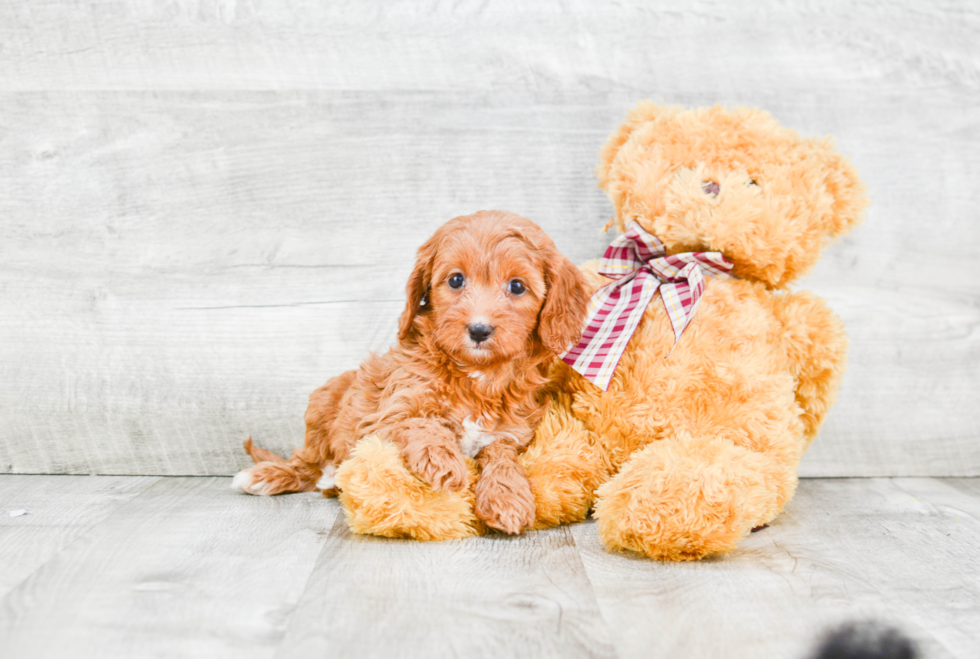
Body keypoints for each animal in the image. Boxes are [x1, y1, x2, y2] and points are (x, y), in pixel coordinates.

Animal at [235, 211, 588, 536]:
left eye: (516, 286)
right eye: (456, 280)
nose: (479, 329)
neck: (477, 376)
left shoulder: (511, 433)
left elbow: (501, 455)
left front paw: (507, 497)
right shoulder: (384, 416)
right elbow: (421, 422)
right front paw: (442, 461)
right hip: (323, 404)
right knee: (305, 463)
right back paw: (267, 475)